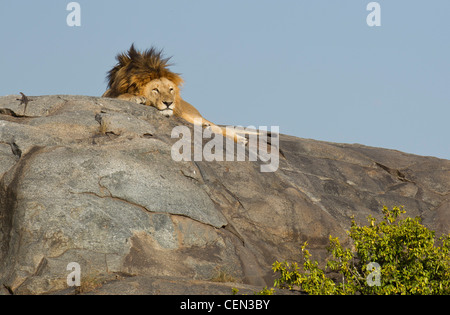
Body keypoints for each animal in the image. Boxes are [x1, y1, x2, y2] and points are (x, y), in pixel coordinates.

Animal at [103, 44, 246, 144]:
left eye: (171, 89)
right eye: (155, 90)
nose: (169, 103)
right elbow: (121, 96)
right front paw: (137, 98)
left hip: (191, 115)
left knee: (220, 129)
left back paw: (239, 139)